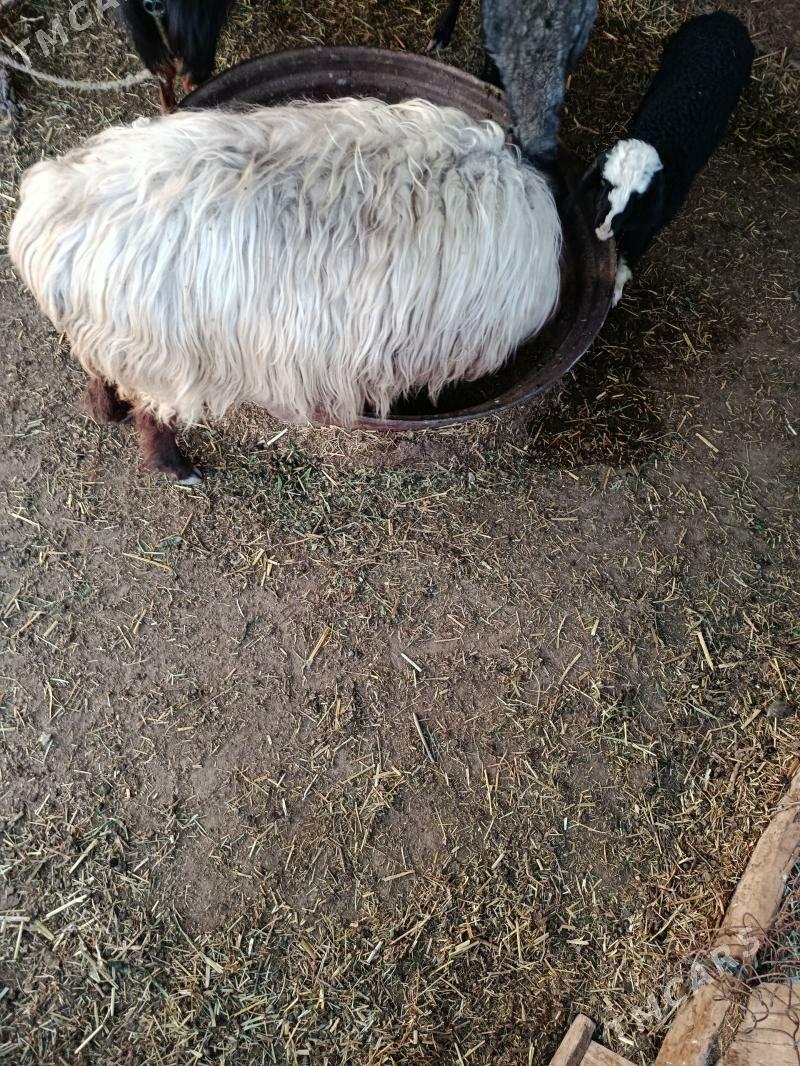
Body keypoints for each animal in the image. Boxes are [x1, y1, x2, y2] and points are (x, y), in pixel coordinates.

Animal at [10, 97, 562, 485]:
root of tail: (45, 213)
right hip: (158, 356)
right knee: (152, 416)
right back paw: (177, 468)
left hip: (112, 339)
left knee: (99, 375)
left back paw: (105, 412)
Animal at [584, 12, 755, 305]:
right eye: (605, 185)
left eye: (637, 201)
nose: (603, 230)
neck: (659, 133)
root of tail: (725, 17)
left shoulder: (651, 222)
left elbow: (630, 254)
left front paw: (615, 288)